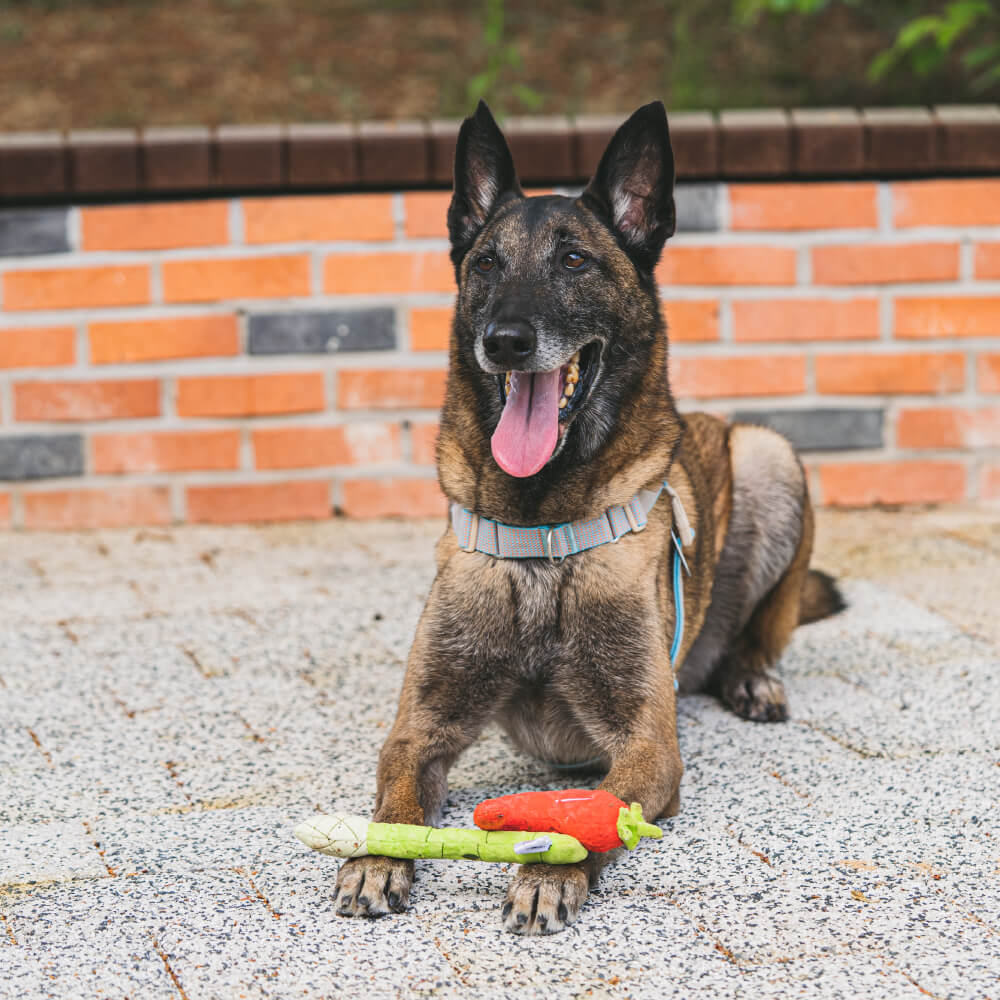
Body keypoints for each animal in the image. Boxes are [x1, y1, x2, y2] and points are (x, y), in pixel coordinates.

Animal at [334, 99, 844, 928]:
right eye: (487, 265)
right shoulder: (420, 727)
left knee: (768, 629)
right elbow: (397, 796)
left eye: (574, 261)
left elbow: (598, 810)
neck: (542, 528)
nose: (506, 342)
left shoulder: (646, 743)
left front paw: (550, 870)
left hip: (770, 457)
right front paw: (378, 856)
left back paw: (752, 678)